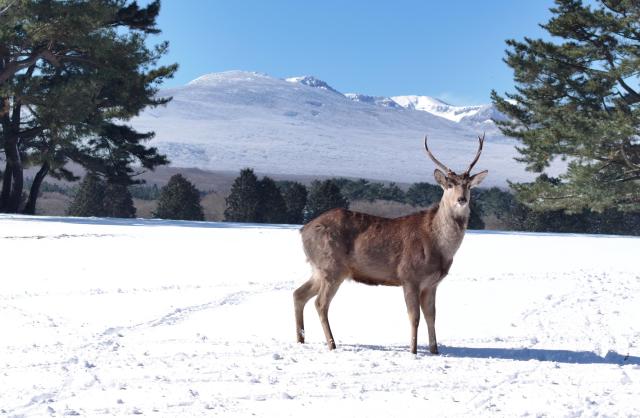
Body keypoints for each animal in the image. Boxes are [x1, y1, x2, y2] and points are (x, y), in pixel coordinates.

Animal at [293, 134, 488, 354]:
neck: (438, 247)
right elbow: (414, 317)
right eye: (449, 185)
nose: (462, 199)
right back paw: (332, 344)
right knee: (320, 303)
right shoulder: (409, 275)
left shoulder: (432, 283)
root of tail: (303, 230)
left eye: (469, 185)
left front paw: (435, 350)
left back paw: (301, 339)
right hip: (332, 265)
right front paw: (413, 351)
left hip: (320, 268)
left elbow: (432, 316)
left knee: (298, 294)